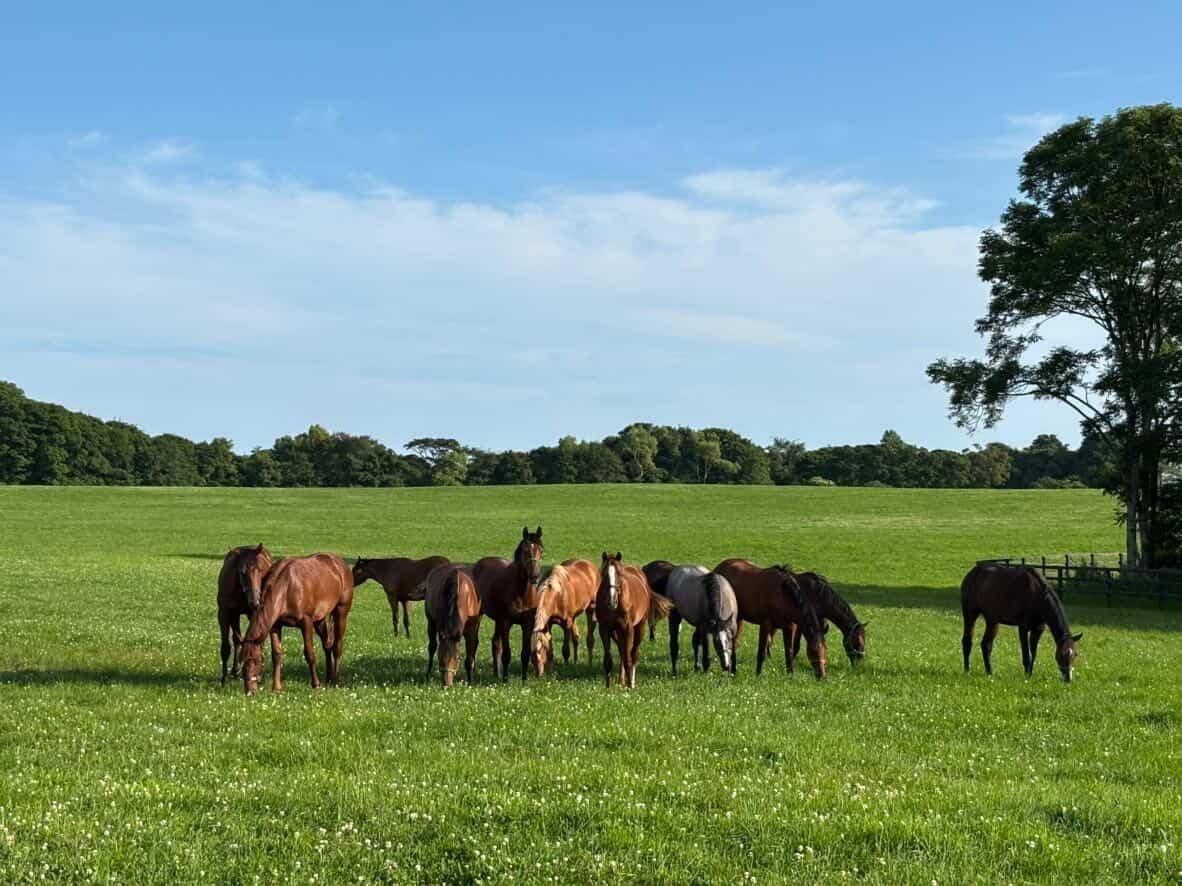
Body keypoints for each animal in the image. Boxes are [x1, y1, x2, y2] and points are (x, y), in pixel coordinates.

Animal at [216, 544, 275, 685]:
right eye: (242, 572)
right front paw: (224, 677)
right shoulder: (225, 613)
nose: (255, 601)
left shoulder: (254, 614)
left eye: (260, 569)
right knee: (237, 639)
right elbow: (227, 645)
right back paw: (235, 670)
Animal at [241, 553, 354, 695]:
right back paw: (328, 678)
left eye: (256, 661)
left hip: (341, 612)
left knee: (337, 646)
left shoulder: (306, 622)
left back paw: (335, 680)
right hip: (319, 620)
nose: (250, 692)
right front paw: (276, 688)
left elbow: (310, 654)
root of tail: (340, 563)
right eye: (242, 662)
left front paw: (316, 684)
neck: (287, 587)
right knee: (327, 645)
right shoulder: (275, 626)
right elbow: (276, 655)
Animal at [474, 526, 544, 682]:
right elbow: (506, 654)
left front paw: (524, 679)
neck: (521, 592)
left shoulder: (527, 624)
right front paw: (506, 680)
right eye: (525, 550)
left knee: (495, 643)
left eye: (541, 551)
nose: (534, 576)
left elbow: (525, 653)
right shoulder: (506, 622)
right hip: (482, 616)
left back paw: (496, 673)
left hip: (498, 620)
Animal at [597, 552, 674, 688]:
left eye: (620, 574)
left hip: (640, 627)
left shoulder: (628, 628)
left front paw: (629, 686)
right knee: (622, 651)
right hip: (616, 632)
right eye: (604, 574)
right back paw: (622, 680)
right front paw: (608, 686)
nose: (611, 601)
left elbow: (629, 658)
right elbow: (608, 659)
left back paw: (631, 681)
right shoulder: (604, 629)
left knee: (633, 653)